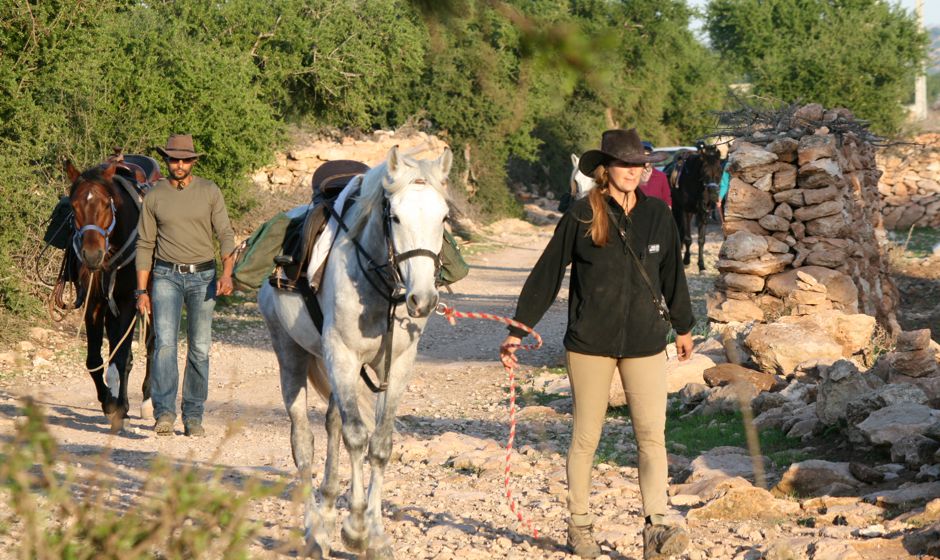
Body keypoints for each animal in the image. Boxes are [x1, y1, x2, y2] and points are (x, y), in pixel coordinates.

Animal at [60, 153, 158, 434]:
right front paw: (108, 403)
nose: (92, 255)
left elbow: (122, 358)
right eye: (73, 206)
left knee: (152, 344)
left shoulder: (128, 302)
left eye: (106, 204)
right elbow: (95, 358)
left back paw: (147, 400)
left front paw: (121, 408)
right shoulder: (93, 301)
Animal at [258, 147, 448, 556]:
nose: (422, 300)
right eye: (395, 216)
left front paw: (375, 534)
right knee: (304, 442)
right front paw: (356, 528)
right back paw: (314, 531)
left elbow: (379, 444)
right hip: (291, 355)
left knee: (332, 424)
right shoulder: (342, 356)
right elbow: (357, 437)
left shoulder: (398, 365)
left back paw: (328, 510)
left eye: (443, 217)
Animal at [664, 144, 724, 272]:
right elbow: (688, 238)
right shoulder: (685, 211)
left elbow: (701, 240)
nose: (713, 195)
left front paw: (701, 265)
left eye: (720, 170)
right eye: (704, 171)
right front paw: (686, 261)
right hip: (677, 208)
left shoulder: (703, 213)